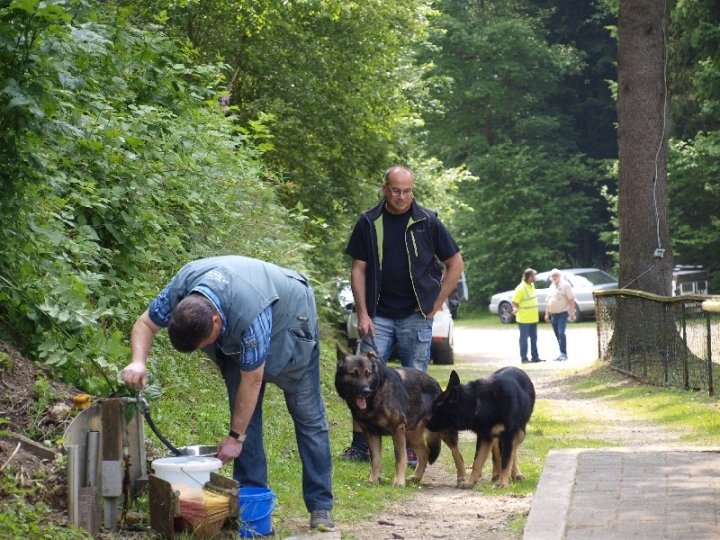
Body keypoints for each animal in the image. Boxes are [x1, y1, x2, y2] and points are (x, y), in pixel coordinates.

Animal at [334, 352, 464, 488]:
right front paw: (374, 479)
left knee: (457, 453)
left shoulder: (396, 430)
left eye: (367, 374)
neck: (376, 392)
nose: (366, 391)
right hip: (410, 436)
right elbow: (375, 460)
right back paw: (417, 477)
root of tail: (438, 386)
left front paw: (399, 481)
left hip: (441, 432)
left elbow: (400, 458)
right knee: (425, 452)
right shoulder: (371, 434)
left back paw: (462, 478)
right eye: (354, 374)